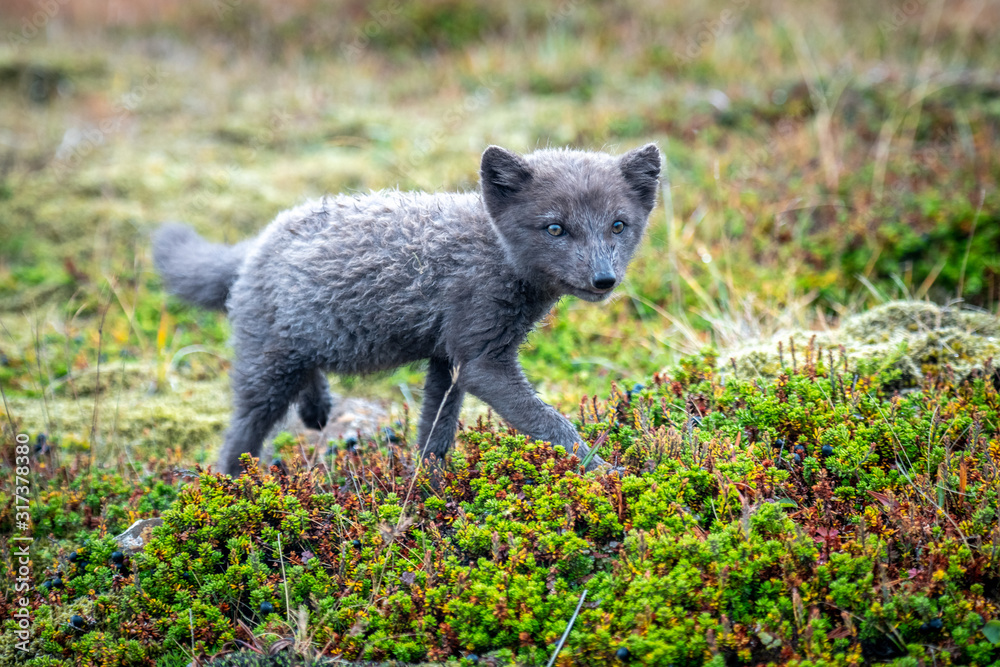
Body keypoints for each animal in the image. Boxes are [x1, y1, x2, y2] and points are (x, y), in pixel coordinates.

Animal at [153, 143, 661, 477]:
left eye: (619, 225)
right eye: (555, 228)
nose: (604, 279)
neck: (494, 250)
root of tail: (255, 245)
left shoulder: (449, 359)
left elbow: (436, 430)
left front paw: (430, 486)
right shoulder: (482, 362)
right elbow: (552, 424)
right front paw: (608, 472)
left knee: (307, 377)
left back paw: (317, 408)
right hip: (267, 373)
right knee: (239, 437)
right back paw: (230, 490)